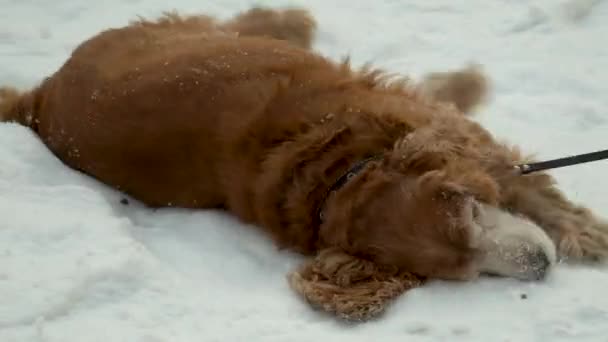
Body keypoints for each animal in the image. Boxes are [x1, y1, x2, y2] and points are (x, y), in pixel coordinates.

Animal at [1, 5, 608, 320]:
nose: (542, 267)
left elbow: (530, 188)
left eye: (475, 212)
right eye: (459, 272)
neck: (345, 173)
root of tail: (39, 97)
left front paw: (586, 234)